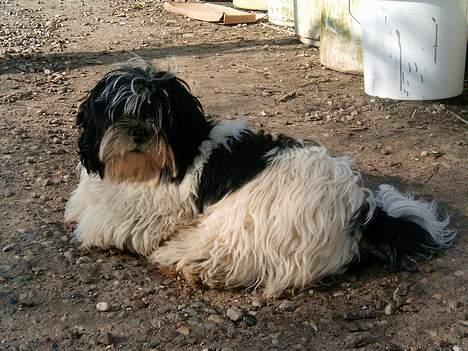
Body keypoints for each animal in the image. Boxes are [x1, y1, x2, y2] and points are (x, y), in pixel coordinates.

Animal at [64, 59, 456, 296]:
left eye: (159, 115)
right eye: (117, 112)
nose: (139, 132)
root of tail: (360, 212)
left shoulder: (157, 211)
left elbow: (107, 221)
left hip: (245, 220)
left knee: (227, 252)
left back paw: (188, 261)